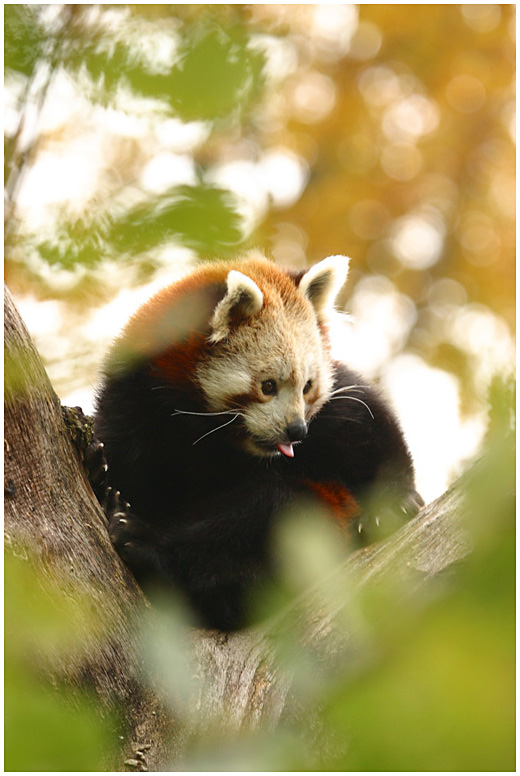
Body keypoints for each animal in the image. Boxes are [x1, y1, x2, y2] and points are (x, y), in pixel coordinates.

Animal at [93, 255, 422, 632]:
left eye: (307, 386)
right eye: (268, 386)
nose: (296, 431)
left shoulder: (330, 415)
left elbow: (366, 425)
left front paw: (396, 501)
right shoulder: (134, 406)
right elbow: (125, 464)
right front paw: (97, 469)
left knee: (273, 504)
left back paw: (150, 547)